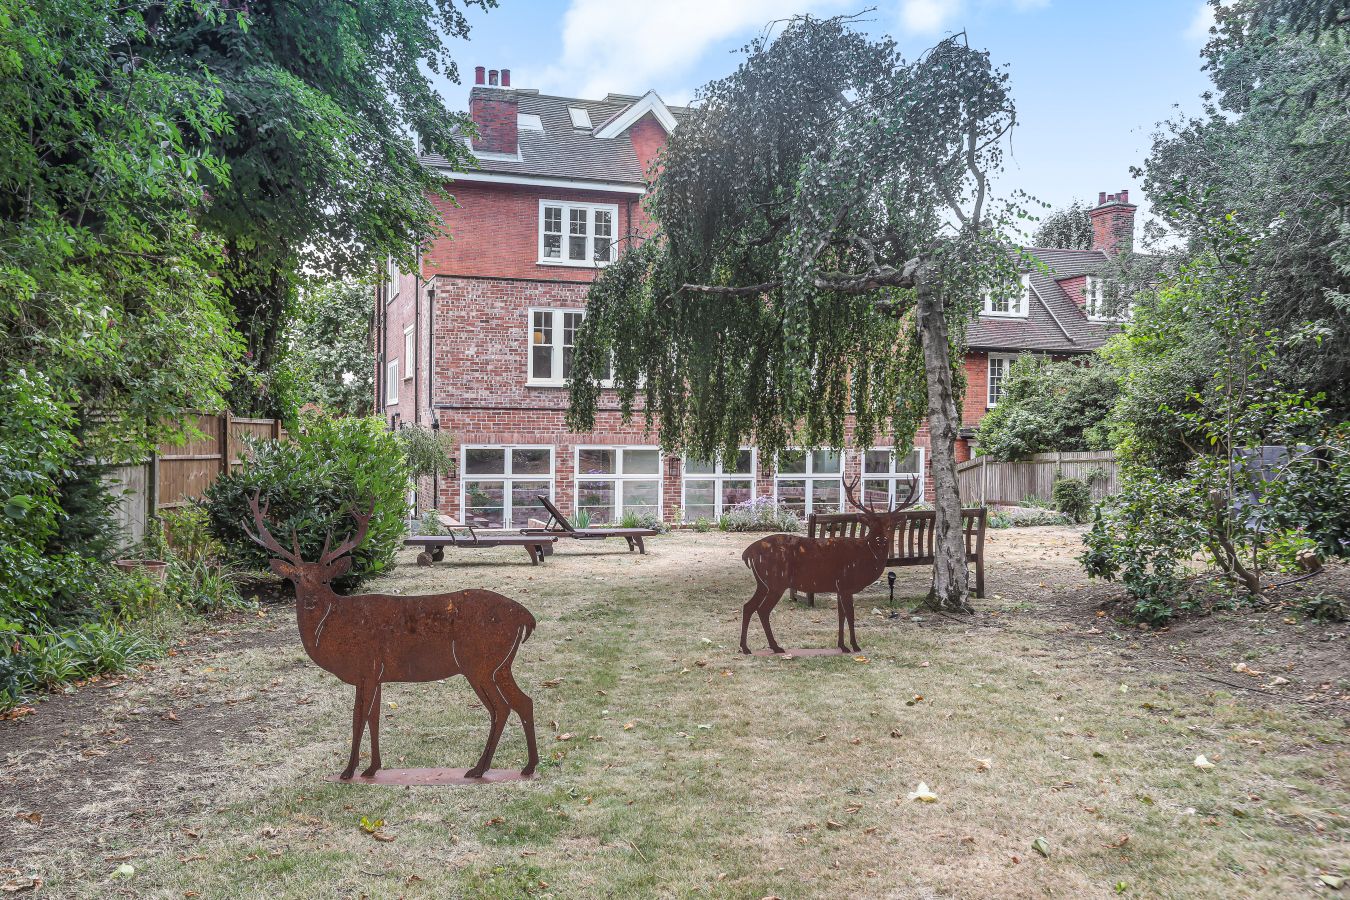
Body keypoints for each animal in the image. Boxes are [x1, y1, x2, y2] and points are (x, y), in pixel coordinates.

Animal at [243, 493, 539, 781]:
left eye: (325, 580)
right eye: (296, 579)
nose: (310, 601)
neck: (336, 627)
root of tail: (526, 617)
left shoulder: (367, 668)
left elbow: (359, 717)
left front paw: (348, 771)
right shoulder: (377, 675)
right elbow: (374, 718)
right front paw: (371, 769)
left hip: (479, 663)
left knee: (501, 708)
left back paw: (481, 769)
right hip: (500, 664)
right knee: (524, 701)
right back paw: (526, 767)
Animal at [740, 476, 918, 655]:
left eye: (890, 525)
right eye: (871, 526)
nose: (881, 540)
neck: (865, 558)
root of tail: (748, 552)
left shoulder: (839, 588)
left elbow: (841, 615)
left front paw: (842, 646)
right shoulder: (846, 584)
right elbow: (850, 615)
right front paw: (855, 646)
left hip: (763, 583)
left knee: (748, 606)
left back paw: (746, 647)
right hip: (776, 581)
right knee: (762, 610)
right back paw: (775, 647)